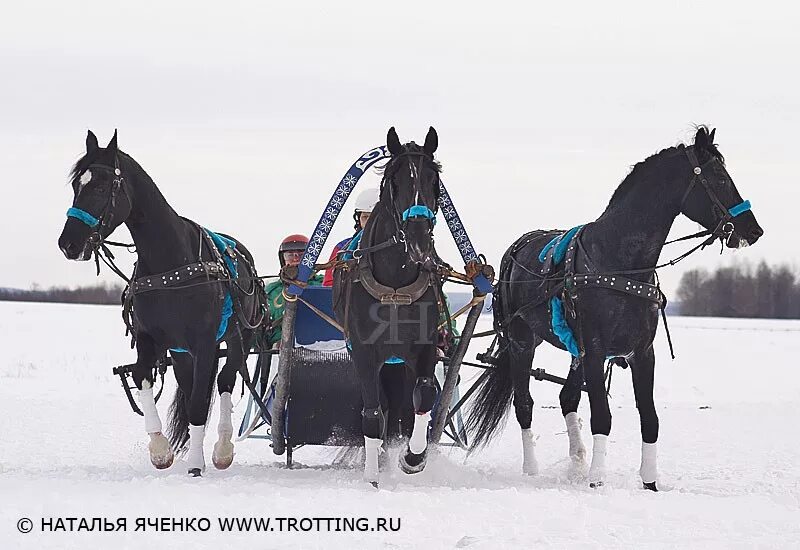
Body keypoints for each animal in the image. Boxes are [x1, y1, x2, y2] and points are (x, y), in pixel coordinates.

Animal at [60, 132, 266, 476]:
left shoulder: (205, 342)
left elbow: (199, 401)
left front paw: (195, 465)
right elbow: (143, 378)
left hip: (239, 338)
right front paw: (160, 450)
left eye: (101, 187)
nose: (68, 244)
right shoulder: (151, 339)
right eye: (77, 185)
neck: (169, 264)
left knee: (225, 379)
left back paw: (222, 449)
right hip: (181, 353)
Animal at [332, 126, 444, 488]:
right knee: (379, 405)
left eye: (434, 179)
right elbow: (372, 412)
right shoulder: (364, 351)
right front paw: (372, 476)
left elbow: (424, 393)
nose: (419, 238)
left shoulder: (424, 346)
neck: (395, 282)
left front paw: (413, 457)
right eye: (395, 180)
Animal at [466, 128, 764, 492]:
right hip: (522, 341)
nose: (753, 230)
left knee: (567, 397)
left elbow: (649, 418)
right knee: (524, 404)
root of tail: (515, 250)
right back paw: (532, 469)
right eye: (720, 177)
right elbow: (602, 416)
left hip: (572, 348)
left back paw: (577, 461)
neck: (620, 261)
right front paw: (597, 479)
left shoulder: (642, 352)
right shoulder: (595, 351)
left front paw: (649, 482)